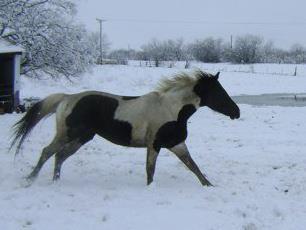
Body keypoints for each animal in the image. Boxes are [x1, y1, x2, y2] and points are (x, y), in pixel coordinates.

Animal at [10, 70, 239, 187]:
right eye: (219, 92)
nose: (236, 112)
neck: (171, 109)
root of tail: (67, 98)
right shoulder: (154, 144)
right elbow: (150, 170)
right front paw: (150, 189)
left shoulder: (177, 144)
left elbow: (194, 166)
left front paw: (209, 185)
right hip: (67, 135)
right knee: (48, 152)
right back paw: (30, 180)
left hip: (81, 138)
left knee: (60, 156)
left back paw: (55, 181)